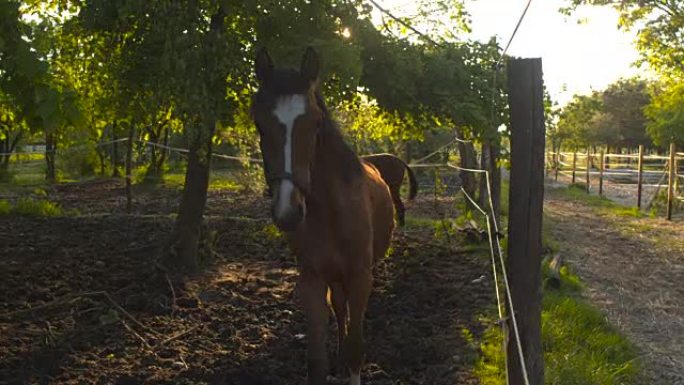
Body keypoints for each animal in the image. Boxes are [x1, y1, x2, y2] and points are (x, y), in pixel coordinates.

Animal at [251, 45, 392, 384]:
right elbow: (317, 361)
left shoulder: (360, 277)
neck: (331, 211)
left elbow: (355, 351)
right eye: (259, 124)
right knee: (340, 311)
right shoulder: (312, 279)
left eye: (315, 123)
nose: (288, 211)